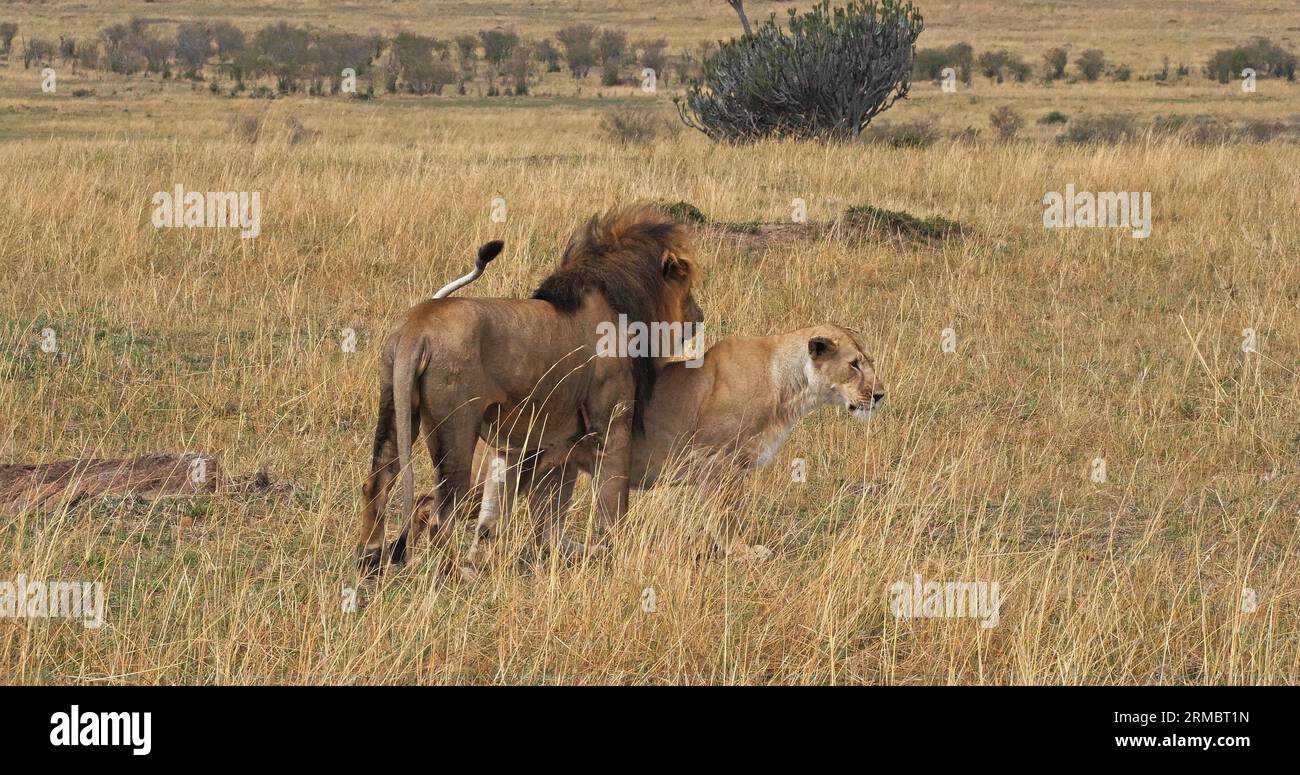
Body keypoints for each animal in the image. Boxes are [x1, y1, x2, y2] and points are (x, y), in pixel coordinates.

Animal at [357, 204, 702, 575]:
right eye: (687, 287)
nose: (699, 316)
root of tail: (416, 329)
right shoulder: (610, 426)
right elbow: (612, 501)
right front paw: (615, 553)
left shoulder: (551, 442)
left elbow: (545, 509)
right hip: (457, 427)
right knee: (441, 512)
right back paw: (454, 571)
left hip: (394, 404)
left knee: (379, 481)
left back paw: (371, 557)